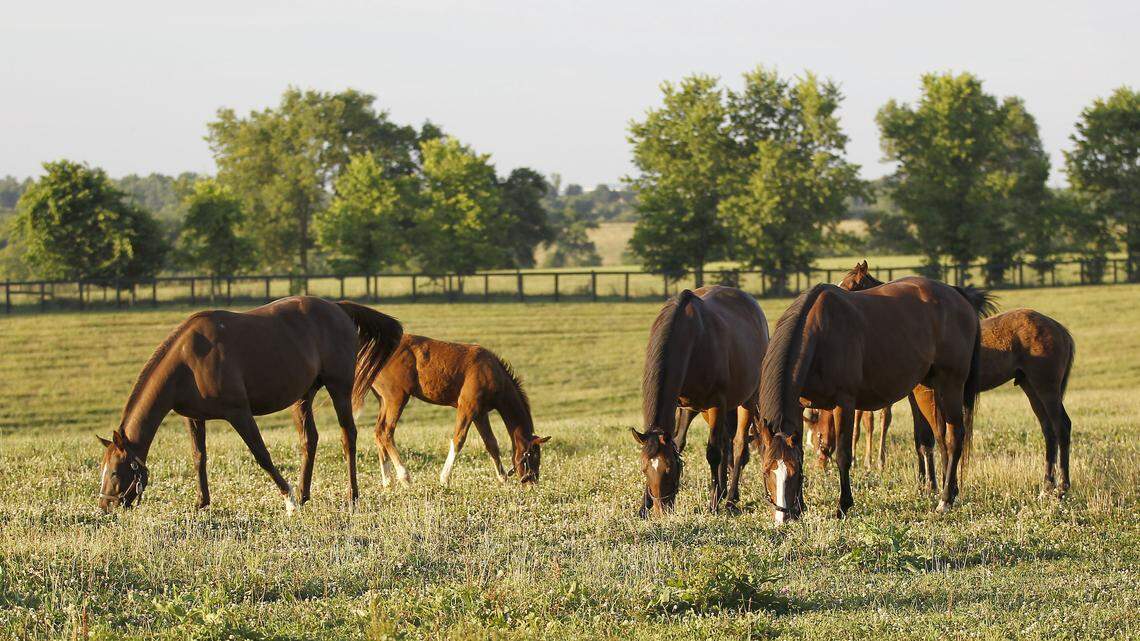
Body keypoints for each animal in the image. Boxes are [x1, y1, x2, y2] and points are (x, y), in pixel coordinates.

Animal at [96, 296, 402, 512]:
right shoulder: (194, 417)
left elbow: (262, 455)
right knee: (309, 440)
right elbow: (199, 457)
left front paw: (288, 500)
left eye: (115, 471)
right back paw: (305, 494)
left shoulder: (239, 413)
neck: (189, 361)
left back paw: (351, 497)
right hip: (303, 396)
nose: (105, 506)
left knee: (348, 435)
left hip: (339, 387)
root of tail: (337, 308)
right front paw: (201, 502)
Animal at [368, 334, 549, 486]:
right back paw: (405, 478)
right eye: (533, 455)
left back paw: (387, 482)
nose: (532, 482)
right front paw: (444, 479)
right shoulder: (467, 407)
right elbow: (458, 439)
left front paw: (502, 478)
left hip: (384, 401)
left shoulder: (480, 413)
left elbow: (491, 443)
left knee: (378, 432)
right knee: (386, 432)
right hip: (396, 398)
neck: (492, 371)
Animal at [631, 286, 769, 517]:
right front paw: (643, 507)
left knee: (738, 445)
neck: (691, 337)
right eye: (643, 469)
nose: (661, 511)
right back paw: (724, 492)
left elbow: (713, 453)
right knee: (725, 441)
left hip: (747, 401)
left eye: (669, 468)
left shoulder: (716, 403)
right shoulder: (682, 405)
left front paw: (713, 505)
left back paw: (729, 499)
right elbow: (679, 442)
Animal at [754, 276, 993, 523]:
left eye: (791, 473)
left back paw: (945, 500)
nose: (783, 518)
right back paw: (949, 490)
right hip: (927, 388)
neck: (820, 334)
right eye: (766, 470)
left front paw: (843, 506)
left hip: (951, 385)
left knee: (955, 437)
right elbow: (800, 450)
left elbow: (843, 455)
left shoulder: (844, 404)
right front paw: (801, 507)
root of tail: (957, 295)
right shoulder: (799, 406)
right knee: (941, 436)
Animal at [838, 262, 1075, 497]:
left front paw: (935, 485)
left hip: (1046, 389)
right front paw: (927, 483)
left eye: (853, 285)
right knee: (1048, 430)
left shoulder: (926, 395)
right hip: (1031, 388)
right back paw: (1047, 485)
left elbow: (930, 438)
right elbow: (921, 439)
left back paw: (1062, 486)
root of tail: (1060, 329)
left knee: (1061, 426)